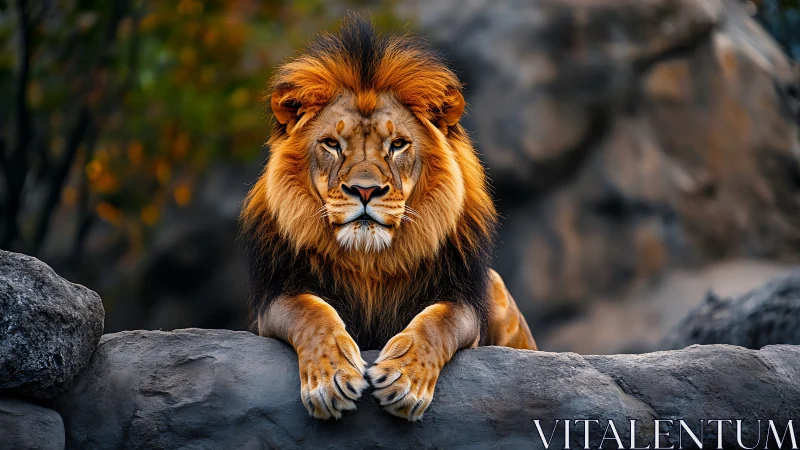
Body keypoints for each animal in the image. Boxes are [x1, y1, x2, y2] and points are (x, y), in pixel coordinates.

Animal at [241, 16, 537, 422]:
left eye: (397, 145)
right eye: (332, 144)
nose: (365, 191)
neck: (370, 261)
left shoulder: (462, 301)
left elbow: (437, 322)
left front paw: (404, 379)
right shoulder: (275, 299)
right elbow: (311, 313)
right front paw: (332, 378)